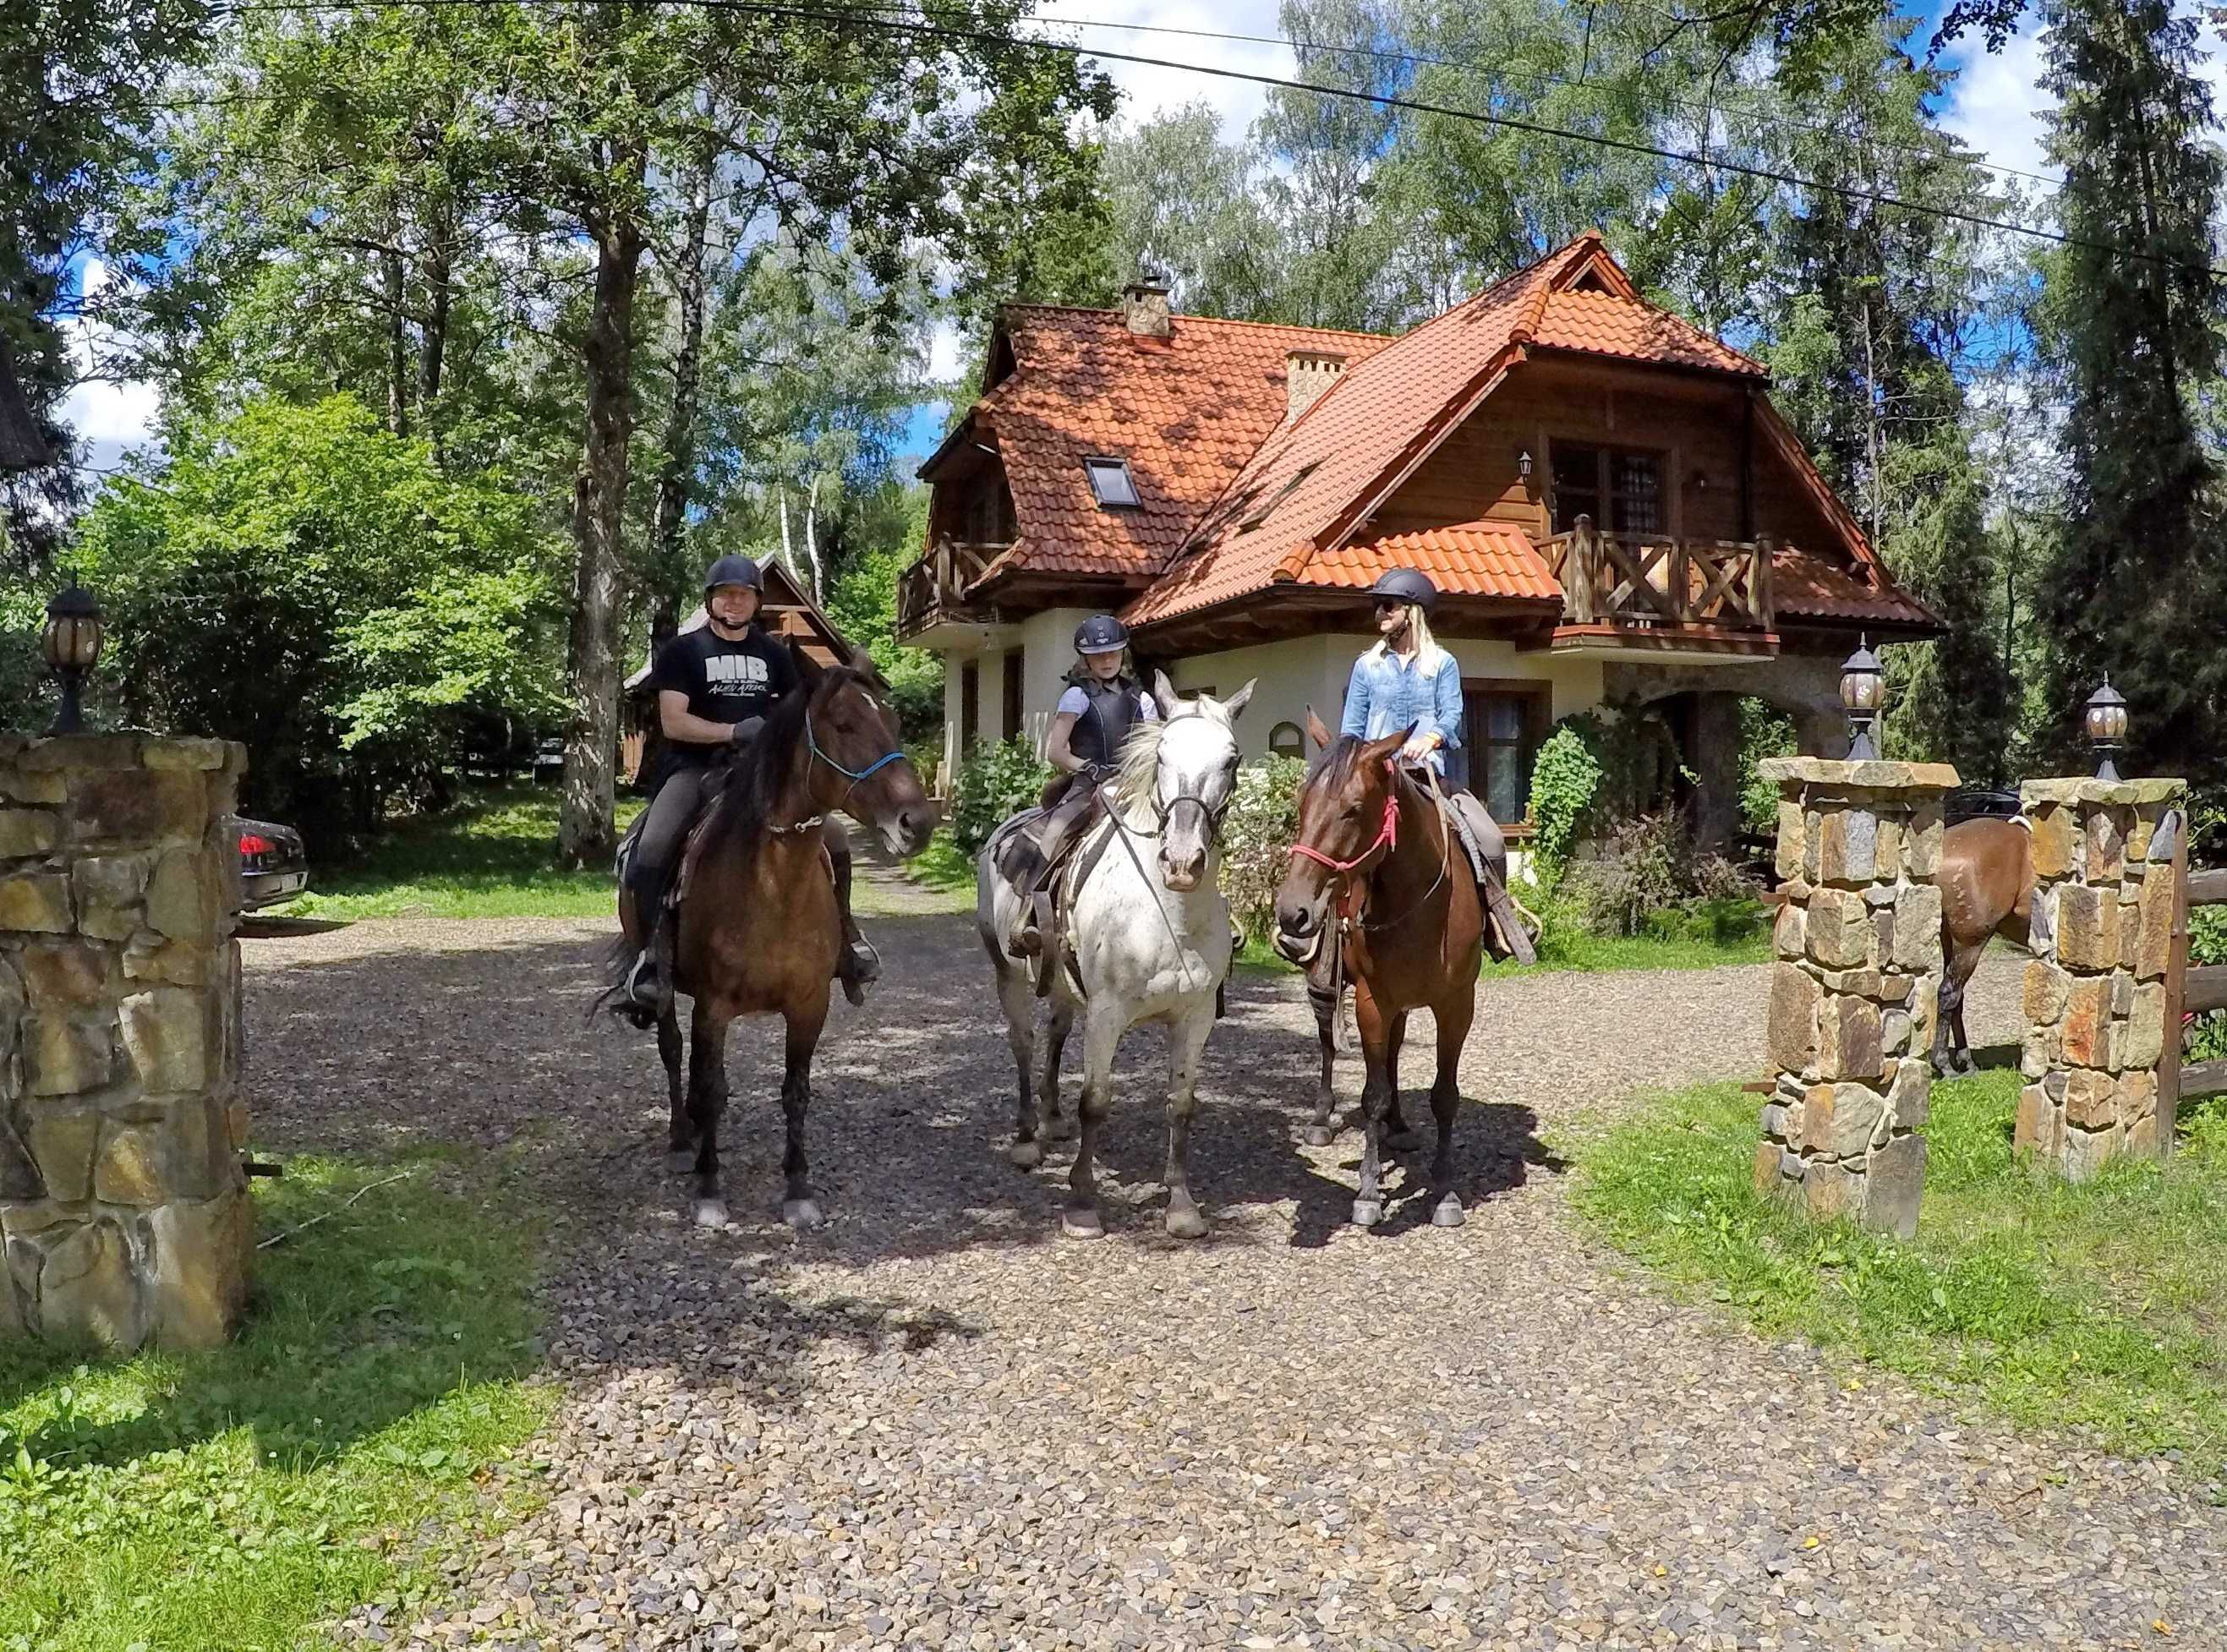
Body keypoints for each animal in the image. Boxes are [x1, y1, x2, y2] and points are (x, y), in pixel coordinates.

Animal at [614, 645, 935, 1228]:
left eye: (894, 721)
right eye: (843, 724)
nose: (916, 824)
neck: (772, 888)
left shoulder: (809, 1005)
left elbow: (795, 1091)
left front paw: (797, 1188)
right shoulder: (713, 1006)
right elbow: (713, 1088)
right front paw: (709, 1188)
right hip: (668, 993)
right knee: (673, 1051)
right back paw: (682, 1142)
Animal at [975, 676, 1256, 1246]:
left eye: (1231, 759)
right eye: (1163, 754)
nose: (1182, 862)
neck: (1169, 913)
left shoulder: (1194, 1018)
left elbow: (1181, 1104)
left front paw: (1181, 1206)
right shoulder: (1107, 1014)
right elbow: (1096, 1101)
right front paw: (1082, 1204)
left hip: (1061, 985)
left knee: (1055, 1034)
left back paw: (1051, 1117)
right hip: (1007, 974)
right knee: (1023, 1043)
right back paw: (1027, 1137)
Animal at [1283, 716, 1487, 1238]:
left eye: (1354, 810)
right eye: (1301, 803)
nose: (1292, 912)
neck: (1418, 902)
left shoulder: (1456, 1005)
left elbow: (1444, 1097)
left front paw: (1445, 1192)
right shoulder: (1373, 1002)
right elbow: (1371, 1094)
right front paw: (1369, 1193)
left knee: (1393, 1052)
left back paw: (1398, 1126)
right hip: (1331, 988)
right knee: (1329, 1043)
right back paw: (1323, 1118)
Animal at [1933, 823, 2039, 1081]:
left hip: (1951, 943)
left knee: (1957, 999)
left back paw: (1967, 1062)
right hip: (1970, 943)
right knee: (1949, 994)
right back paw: (1945, 1065)